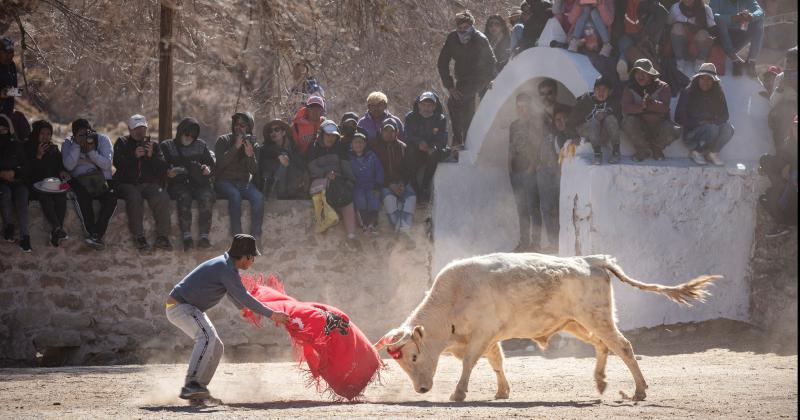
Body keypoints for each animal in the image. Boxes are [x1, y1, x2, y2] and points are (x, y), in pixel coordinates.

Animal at [374, 251, 720, 402]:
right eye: (401, 362)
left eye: (414, 357)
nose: (421, 389)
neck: (453, 298)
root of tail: (593, 260)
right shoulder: (490, 337)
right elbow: (496, 362)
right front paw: (502, 391)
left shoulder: (482, 334)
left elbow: (472, 362)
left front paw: (458, 393)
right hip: (576, 322)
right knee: (601, 345)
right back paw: (600, 383)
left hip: (597, 317)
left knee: (622, 346)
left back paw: (639, 390)